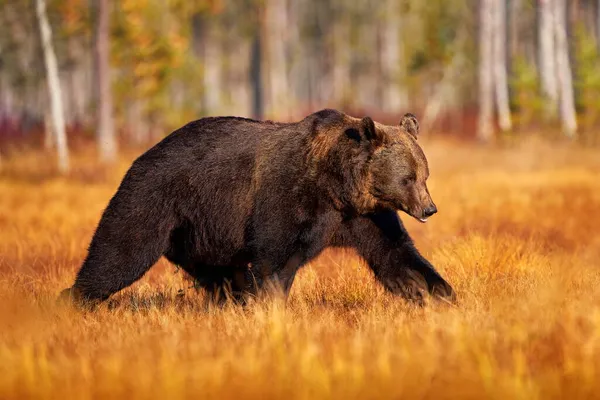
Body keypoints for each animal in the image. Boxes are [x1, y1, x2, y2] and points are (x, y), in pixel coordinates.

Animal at [61, 108, 454, 304]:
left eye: (424, 174)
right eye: (408, 177)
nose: (430, 208)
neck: (338, 186)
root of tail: (142, 155)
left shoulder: (363, 216)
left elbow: (395, 253)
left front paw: (439, 293)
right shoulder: (285, 196)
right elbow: (274, 259)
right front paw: (269, 304)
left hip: (201, 233)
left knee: (216, 272)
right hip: (157, 200)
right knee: (120, 251)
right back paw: (75, 297)